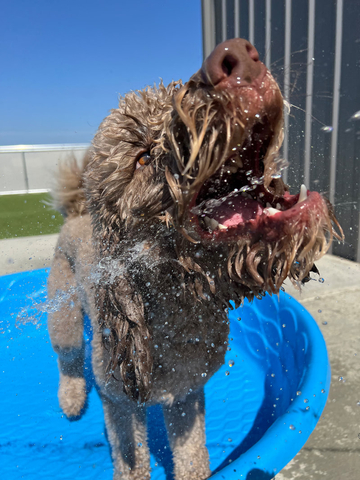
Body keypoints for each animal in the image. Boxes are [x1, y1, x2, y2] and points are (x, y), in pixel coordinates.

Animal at [47, 39, 344, 478]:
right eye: (143, 158)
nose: (238, 56)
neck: (173, 309)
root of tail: (76, 214)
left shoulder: (185, 396)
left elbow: (191, 456)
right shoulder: (120, 405)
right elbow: (130, 459)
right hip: (62, 313)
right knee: (67, 358)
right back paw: (70, 399)